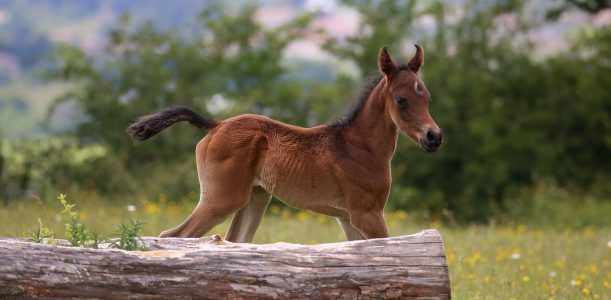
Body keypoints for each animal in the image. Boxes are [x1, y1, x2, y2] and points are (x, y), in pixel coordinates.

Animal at [129, 45, 442, 243]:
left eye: (427, 97)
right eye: (401, 100)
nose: (434, 136)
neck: (360, 147)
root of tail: (215, 124)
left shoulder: (347, 218)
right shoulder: (367, 214)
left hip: (255, 197)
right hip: (221, 198)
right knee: (176, 236)